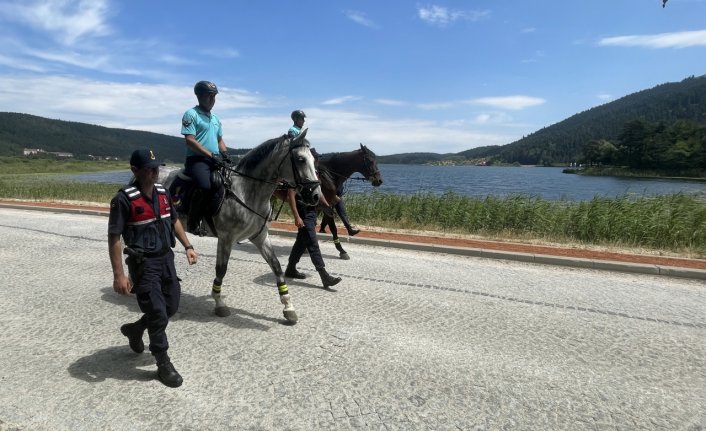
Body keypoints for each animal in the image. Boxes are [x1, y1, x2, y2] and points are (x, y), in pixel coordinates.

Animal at [161, 132, 318, 324]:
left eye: (313, 159)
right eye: (301, 159)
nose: (315, 195)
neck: (246, 191)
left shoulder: (260, 236)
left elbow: (276, 266)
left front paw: (288, 307)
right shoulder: (226, 238)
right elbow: (221, 269)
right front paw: (219, 303)